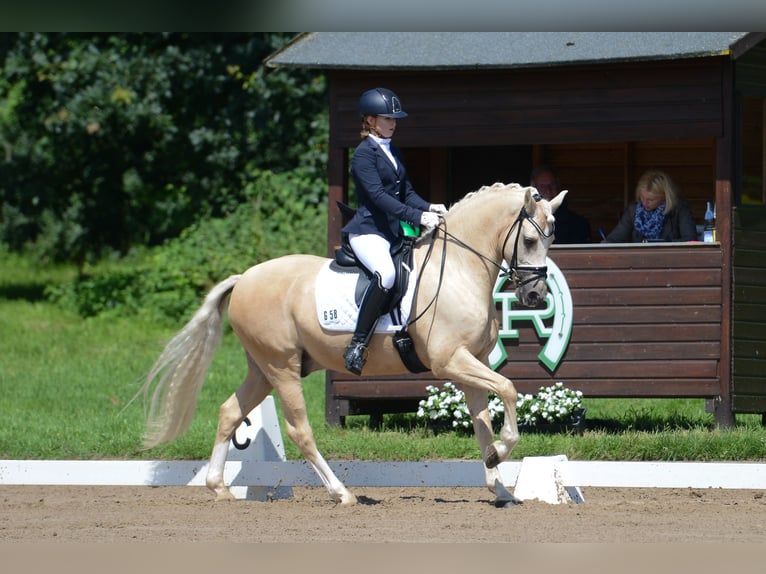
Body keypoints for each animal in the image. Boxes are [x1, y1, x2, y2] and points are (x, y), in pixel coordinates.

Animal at [141, 183, 568, 508]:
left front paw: (499, 484)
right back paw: (341, 493)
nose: (534, 296)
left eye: (552, 238)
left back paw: (219, 487)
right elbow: (508, 390)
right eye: (530, 239)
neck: (460, 270)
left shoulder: (470, 365)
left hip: (262, 368)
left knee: (230, 412)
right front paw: (502, 452)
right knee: (300, 430)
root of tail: (244, 277)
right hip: (281, 366)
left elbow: (482, 422)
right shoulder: (450, 361)